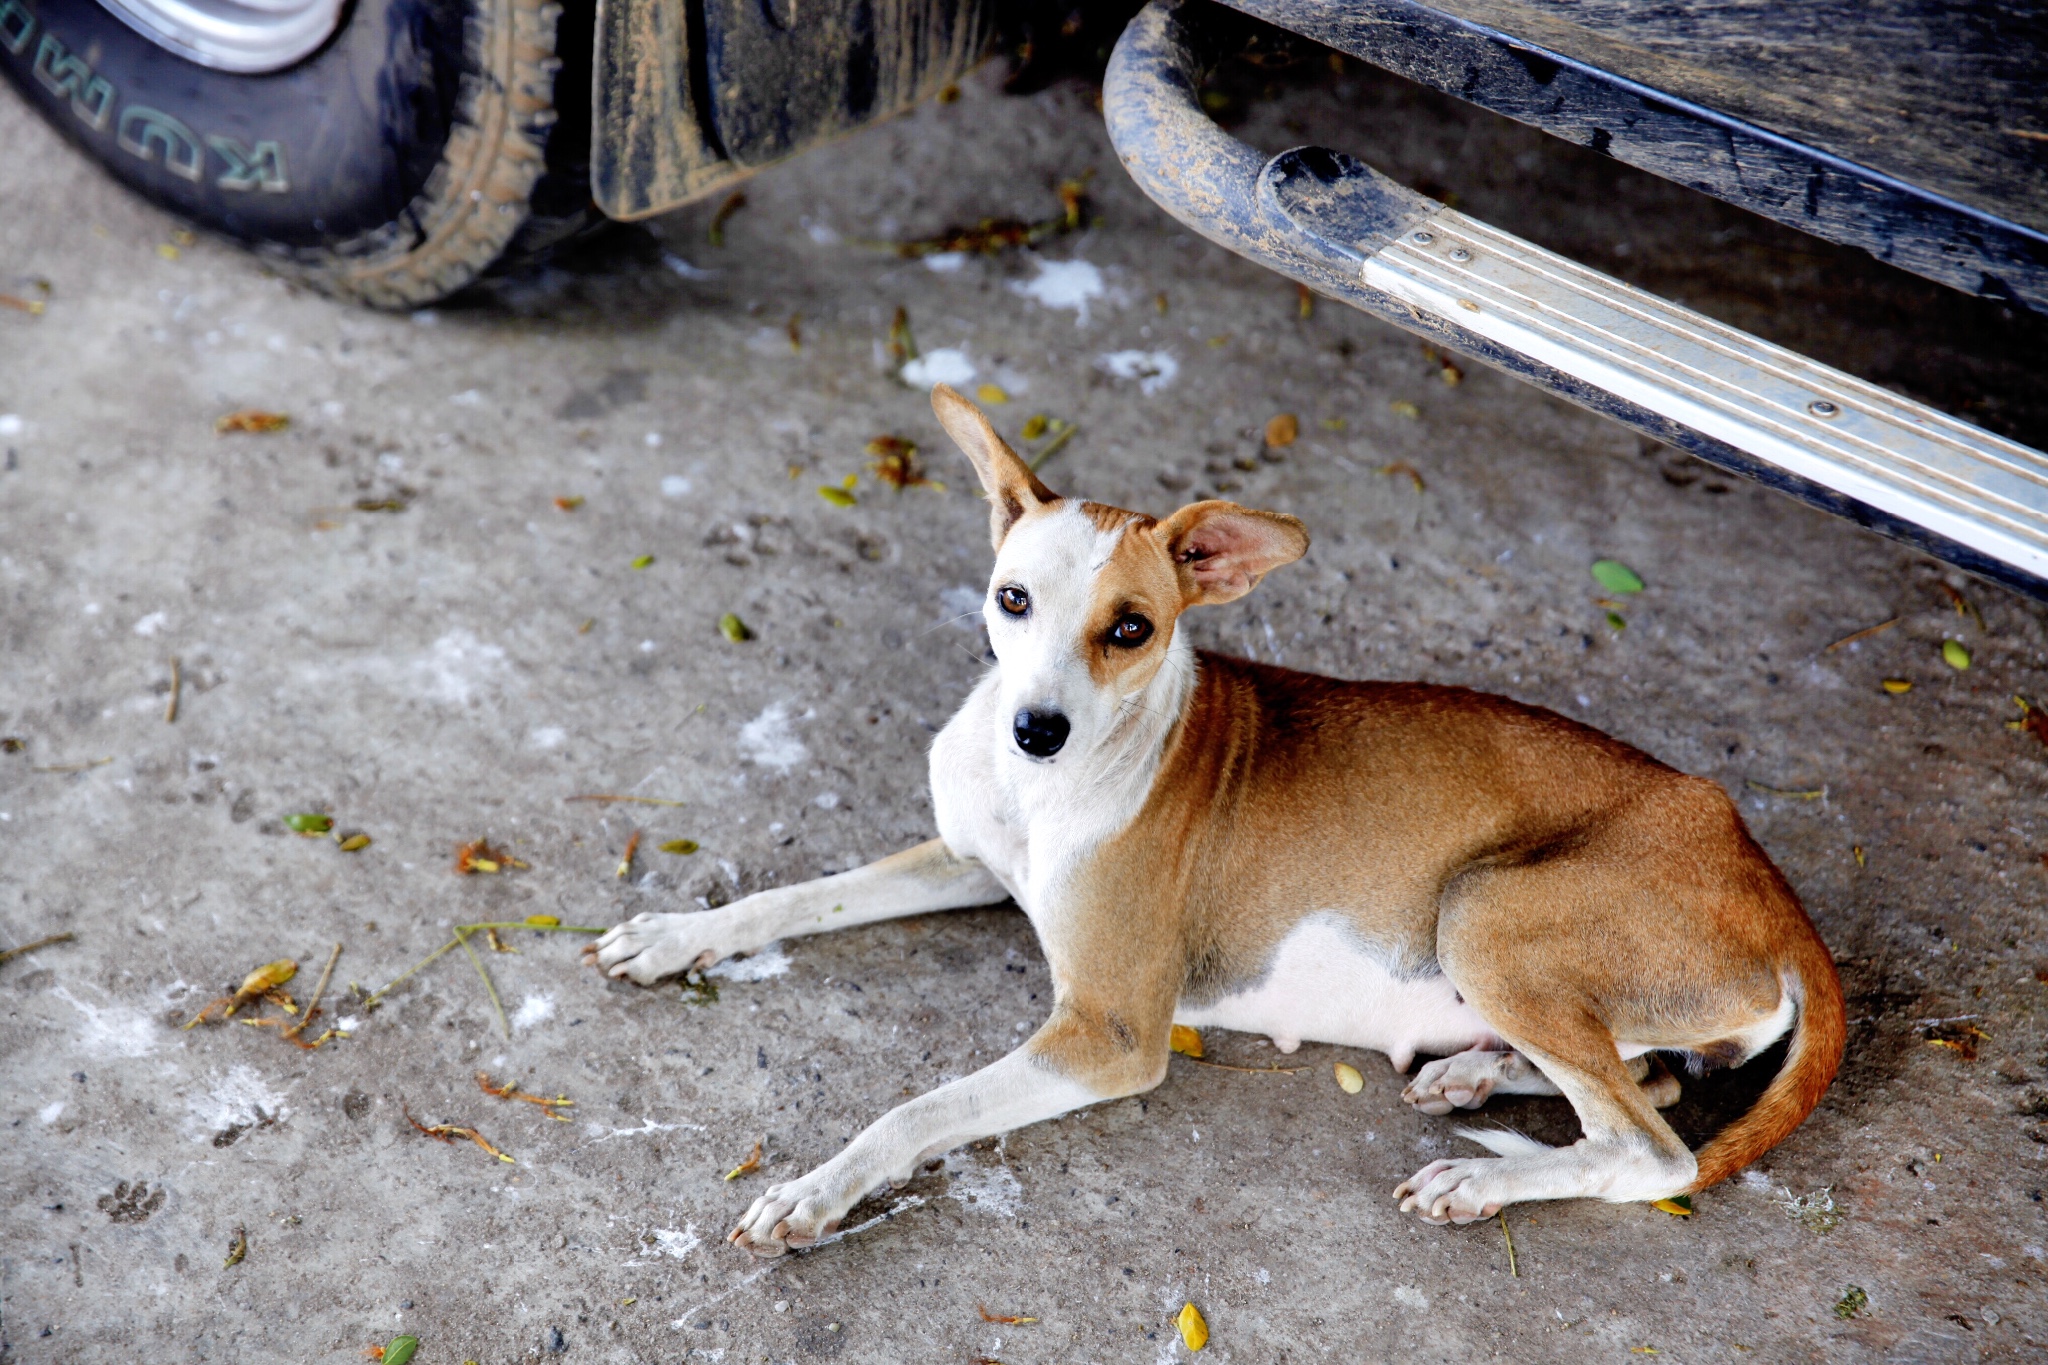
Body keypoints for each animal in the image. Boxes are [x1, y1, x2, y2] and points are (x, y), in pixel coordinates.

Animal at [585, 384, 1851, 1260]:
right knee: (1656, 1086)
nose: (1033, 730)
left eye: (1130, 628)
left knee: (1650, 1148)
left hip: (1482, 910)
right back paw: (1471, 1078)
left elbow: (916, 1108)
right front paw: (675, 935)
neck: (1050, 790)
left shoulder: (1105, 1033)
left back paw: (1480, 1177)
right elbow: (796, 896)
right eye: (1010, 599)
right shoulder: (965, 861)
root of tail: (1762, 878)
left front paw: (814, 1191)